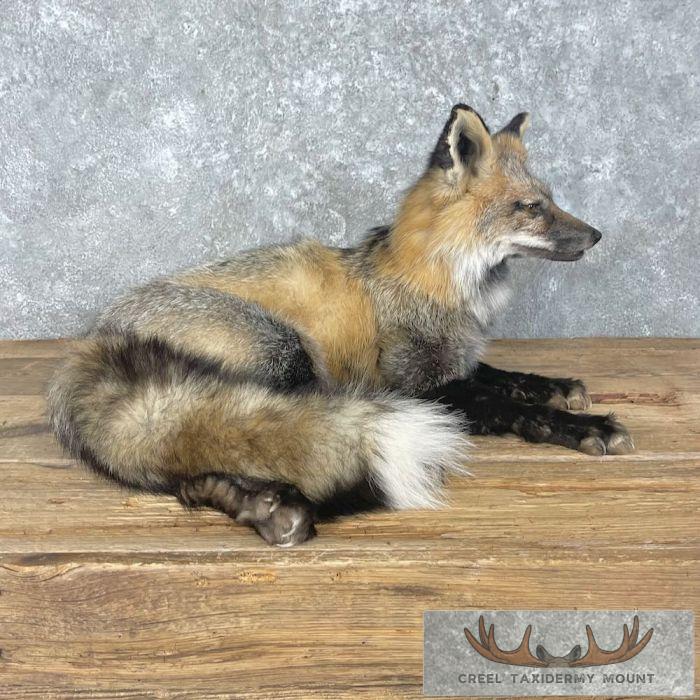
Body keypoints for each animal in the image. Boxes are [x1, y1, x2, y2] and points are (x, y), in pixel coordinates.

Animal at [48, 104, 634, 547]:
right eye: (531, 207)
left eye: (550, 200)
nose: (598, 236)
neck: (437, 287)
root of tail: (94, 341)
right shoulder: (413, 385)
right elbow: (504, 405)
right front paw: (581, 426)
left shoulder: (450, 363)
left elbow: (504, 377)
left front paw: (555, 386)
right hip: (281, 353)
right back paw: (288, 504)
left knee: (190, 473)